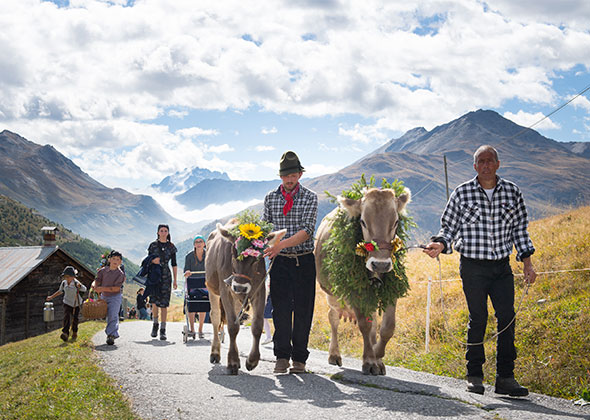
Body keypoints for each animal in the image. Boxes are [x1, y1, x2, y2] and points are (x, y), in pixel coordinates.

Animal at [205, 220, 286, 374]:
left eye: (257, 258)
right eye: (233, 253)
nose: (240, 287)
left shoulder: (260, 290)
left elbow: (257, 325)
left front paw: (252, 360)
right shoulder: (226, 291)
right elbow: (232, 326)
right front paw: (232, 362)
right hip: (212, 288)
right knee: (216, 317)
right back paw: (215, 353)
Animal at [316, 189, 410, 376]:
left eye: (396, 221)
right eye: (362, 221)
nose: (380, 264)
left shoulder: (391, 290)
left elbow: (387, 327)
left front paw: (378, 355)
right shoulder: (355, 291)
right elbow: (365, 325)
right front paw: (370, 361)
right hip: (333, 295)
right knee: (333, 318)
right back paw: (334, 354)